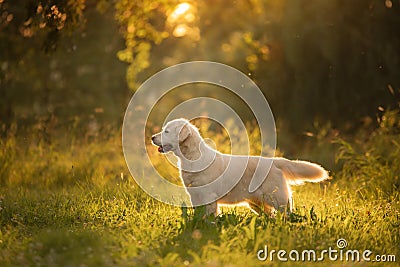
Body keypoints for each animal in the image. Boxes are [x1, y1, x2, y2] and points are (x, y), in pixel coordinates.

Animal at [152, 119, 330, 216]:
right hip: (257, 203)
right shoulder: (195, 196)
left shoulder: (209, 196)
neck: (192, 157)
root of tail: (275, 161)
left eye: (166, 131)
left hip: (277, 198)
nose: (152, 137)